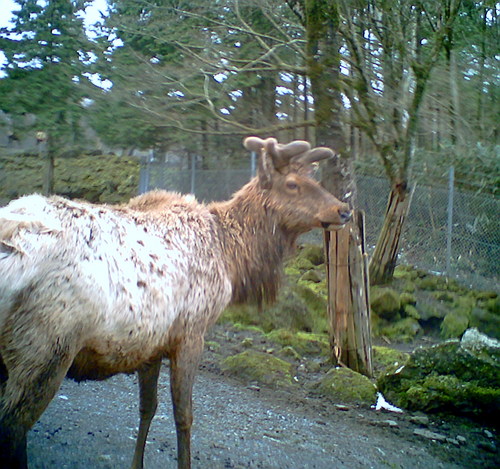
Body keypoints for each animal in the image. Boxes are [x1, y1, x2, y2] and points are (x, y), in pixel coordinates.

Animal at [0, 136, 352, 468]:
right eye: (292, 184)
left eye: (313, 179)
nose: (344, 210)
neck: (231, 257)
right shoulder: (191, 332)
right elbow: (184, 416)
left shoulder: (151, 342)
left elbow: (147, 407)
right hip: (47, 347)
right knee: (13, 427)